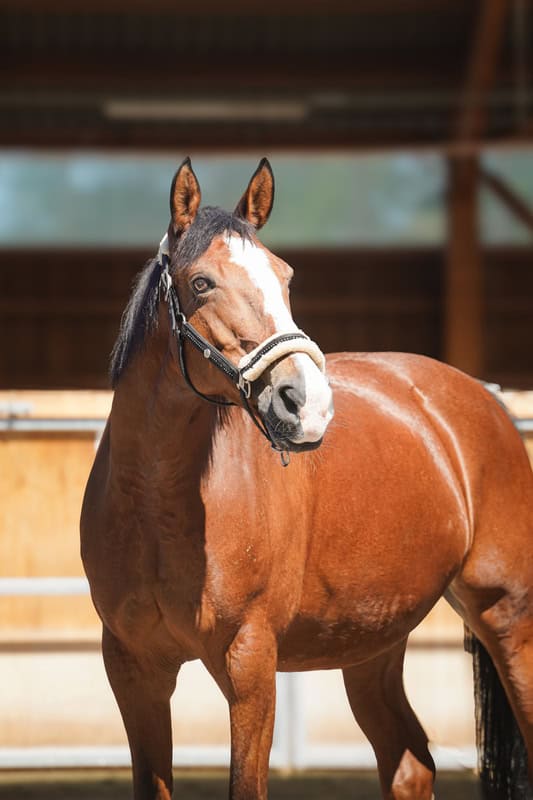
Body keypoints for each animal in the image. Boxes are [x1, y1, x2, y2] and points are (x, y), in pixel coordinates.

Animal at [81, 157, 533, 800]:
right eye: (201, 283)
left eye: (286, 277)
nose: (307, 403)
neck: (158, 504)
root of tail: (483, 399)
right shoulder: (133, 670)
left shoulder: (249, 662)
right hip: (373, 642)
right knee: (409, 762)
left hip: (507, 618)